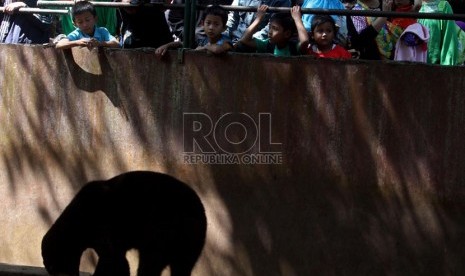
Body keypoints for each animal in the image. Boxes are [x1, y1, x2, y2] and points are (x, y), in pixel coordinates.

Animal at [42, 170, 207, 276]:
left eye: (55, 266)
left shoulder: (99, 220)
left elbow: (113, 258)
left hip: (163, 229)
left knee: (150, 262)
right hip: (190, 243)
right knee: (181, 266)